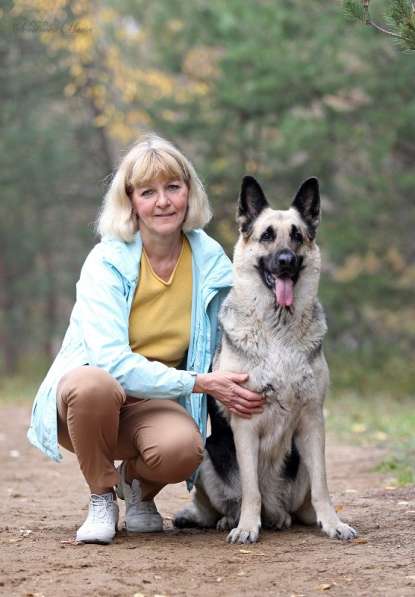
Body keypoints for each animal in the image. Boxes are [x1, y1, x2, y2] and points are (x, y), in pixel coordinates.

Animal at [174, 175, 360, 544]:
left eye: (297, 236)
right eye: (267, 236)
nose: (286, 260)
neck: (278, 332)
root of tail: (278, 510)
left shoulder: (313, 422)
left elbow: (323, 487)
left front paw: (333, 523)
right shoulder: (245, 426)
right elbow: (250, 489)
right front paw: (247, 526)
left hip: (300, 463)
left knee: (298, 504)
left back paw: (289, 518)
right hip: (206, 455)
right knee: (224, 506)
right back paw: (230, 519)